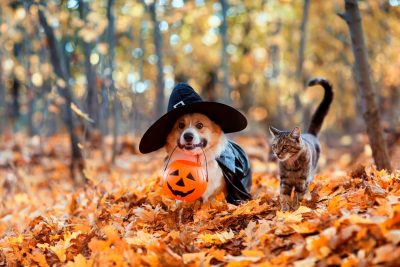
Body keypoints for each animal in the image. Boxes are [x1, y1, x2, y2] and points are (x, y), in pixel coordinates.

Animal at [270, 78, 332, 213]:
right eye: (274, 146)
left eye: (285, 147)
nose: (277, 154)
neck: (291, 165)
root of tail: (310, 134)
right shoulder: (284, 182)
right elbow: (284, 197)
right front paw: (285, 211)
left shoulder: (302, 182)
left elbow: (298, 197)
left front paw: (295, 209)